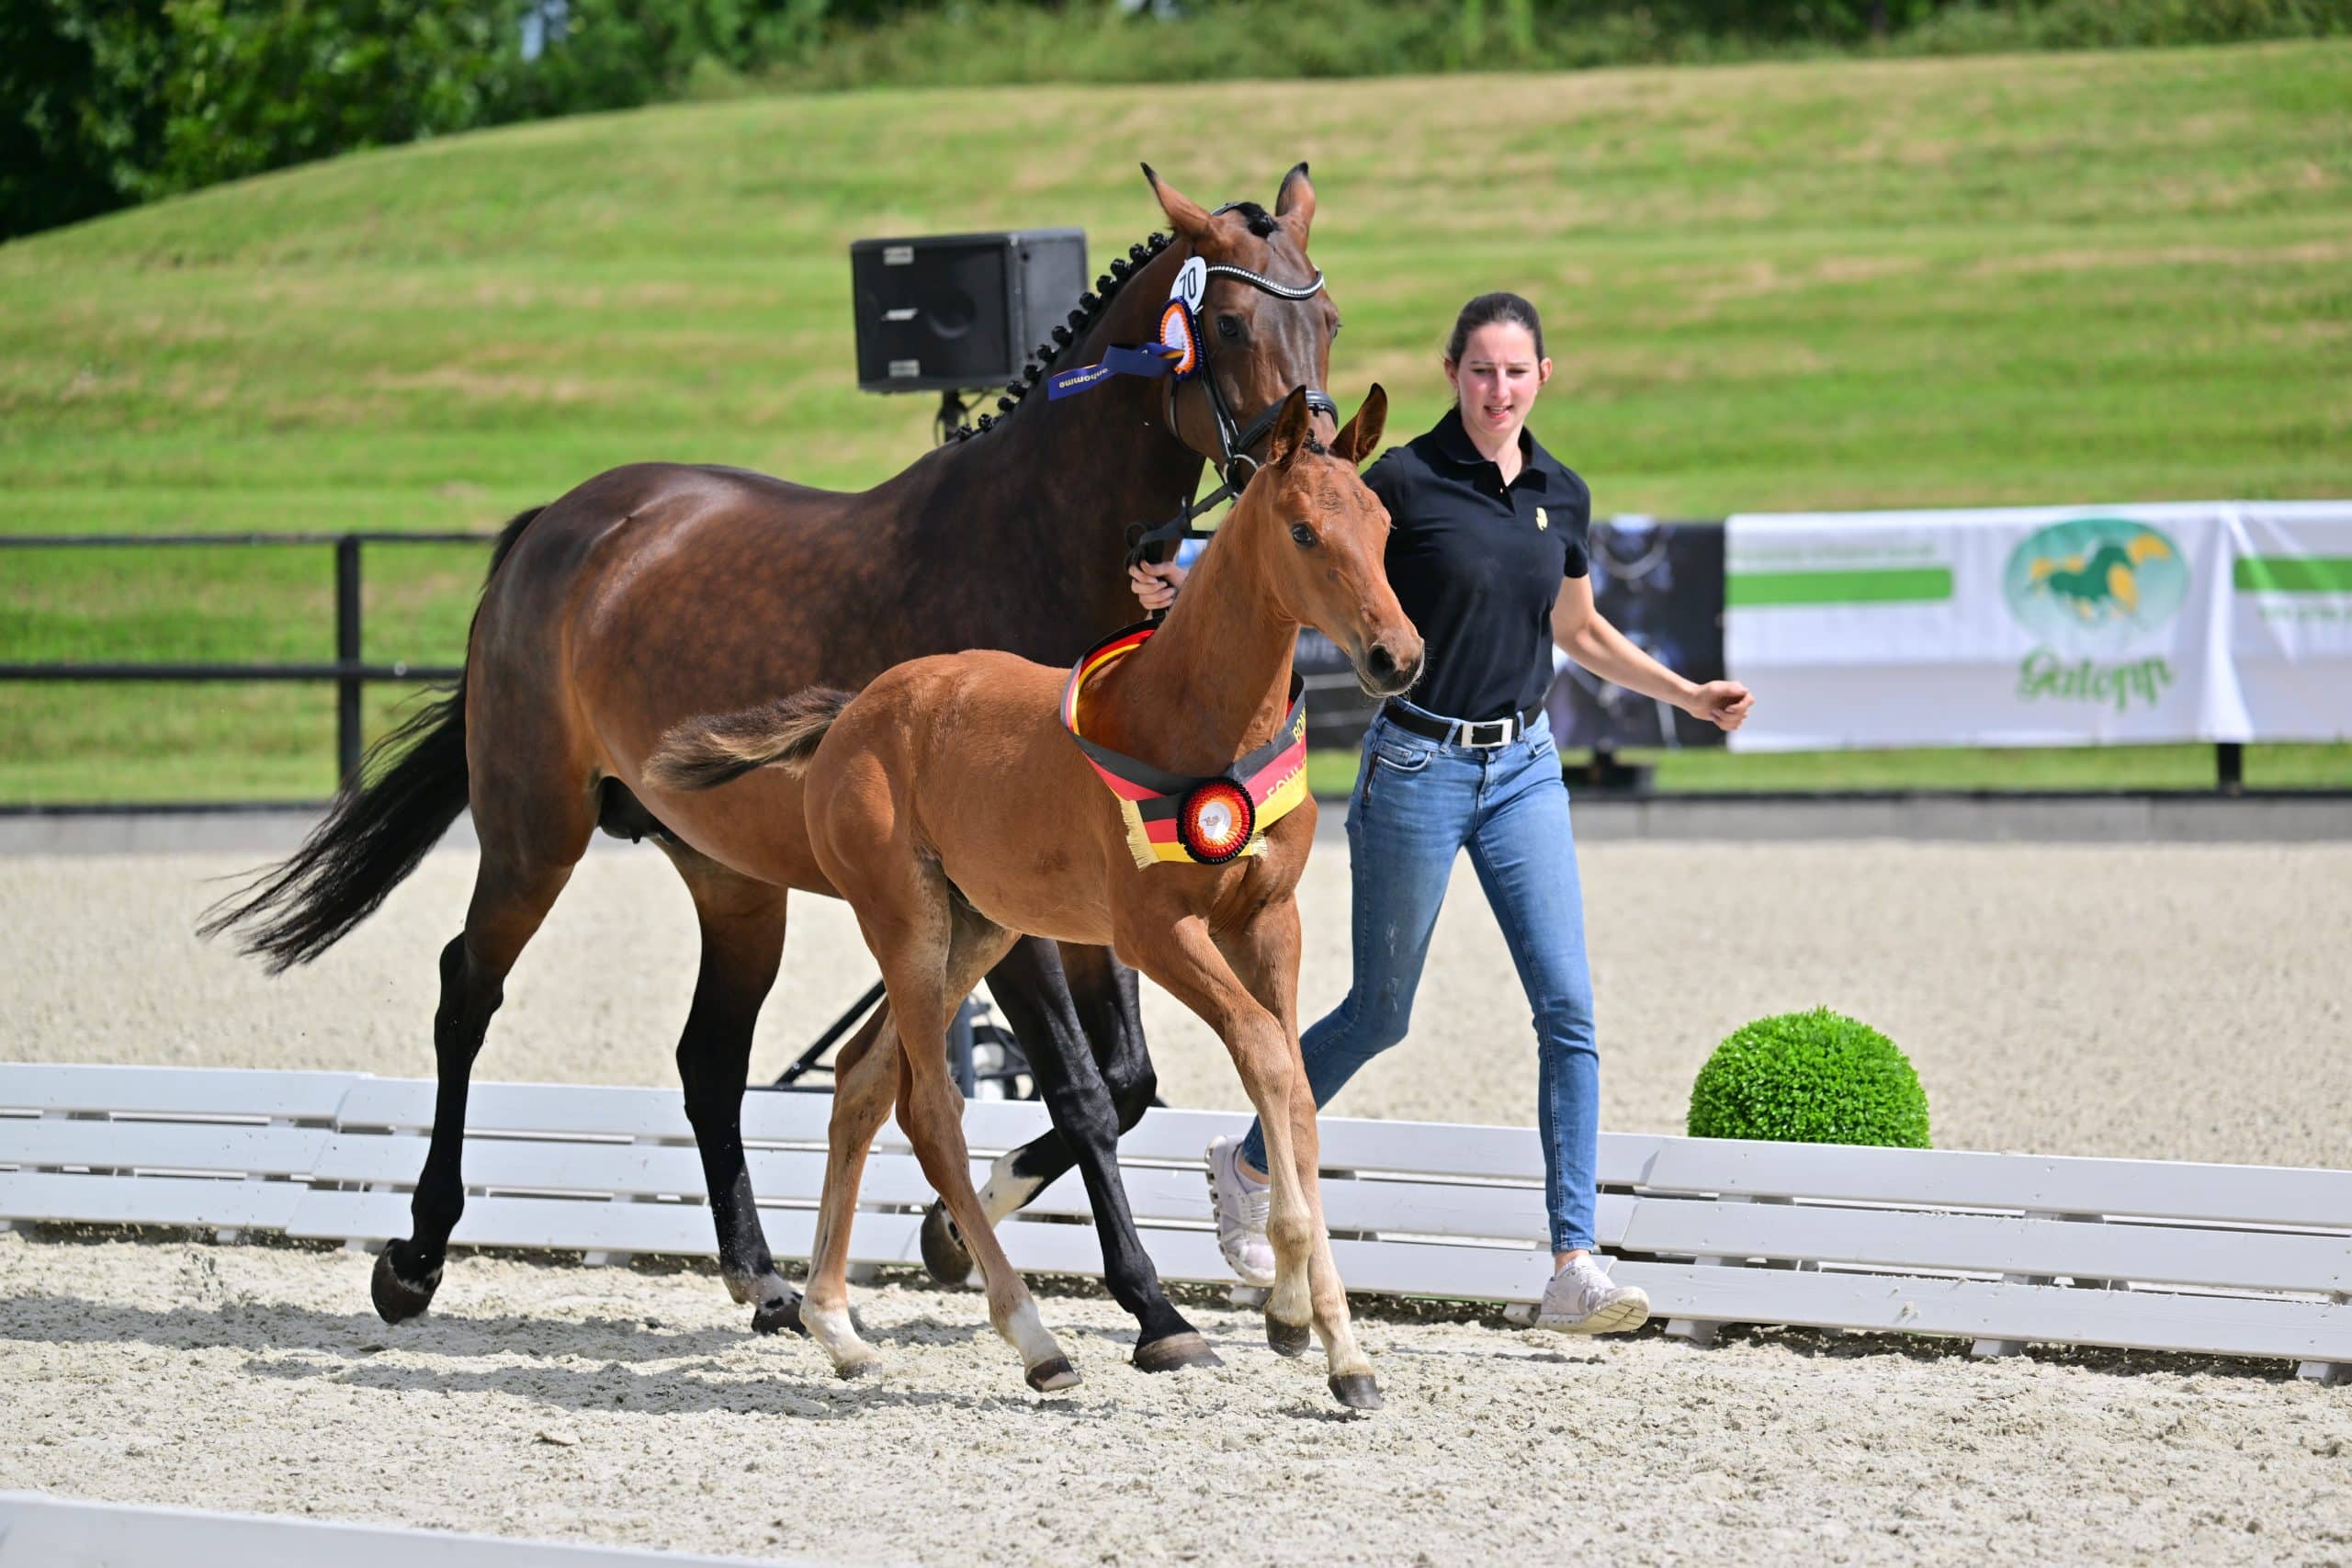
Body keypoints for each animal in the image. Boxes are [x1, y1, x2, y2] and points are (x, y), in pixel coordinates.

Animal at [649, 383, 1411, 1410]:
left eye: (1381, 524)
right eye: (1302, 531)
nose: (1395, 656)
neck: (1188, 714)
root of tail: (851, 712)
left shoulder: (1268, 920)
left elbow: (1290, 1077)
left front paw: (1325, 1336)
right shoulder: (1154, 931)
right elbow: (1265, 1053)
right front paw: (1303, 1314)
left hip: (976, 928)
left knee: (859, 1079)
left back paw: (839, 1329)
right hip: (908, 922)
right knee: (927, 1109)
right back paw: (1033, 1337)